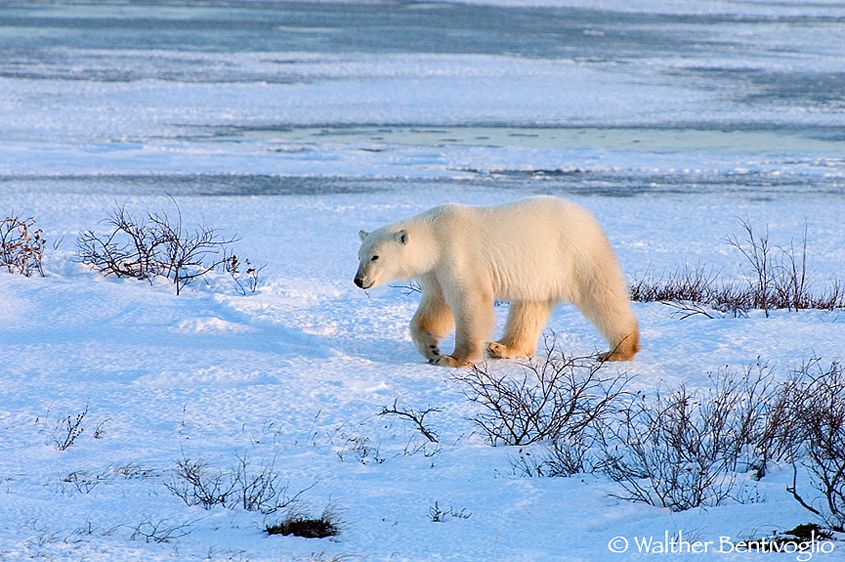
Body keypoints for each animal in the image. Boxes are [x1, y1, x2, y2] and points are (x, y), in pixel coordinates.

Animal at [354, 196, 639, 367]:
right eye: (359, 255)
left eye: (375, 256)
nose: (358, 280)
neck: (435, 235)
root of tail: (587, 216)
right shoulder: (435, 270)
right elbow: (436, 305)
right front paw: (431, 349)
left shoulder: (458, 254)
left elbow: (470, 300)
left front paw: (454, 359)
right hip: (539, 272)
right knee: (529, 307)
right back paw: (502, 347)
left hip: (576, 254)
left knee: (601, 296)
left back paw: (618, 350)